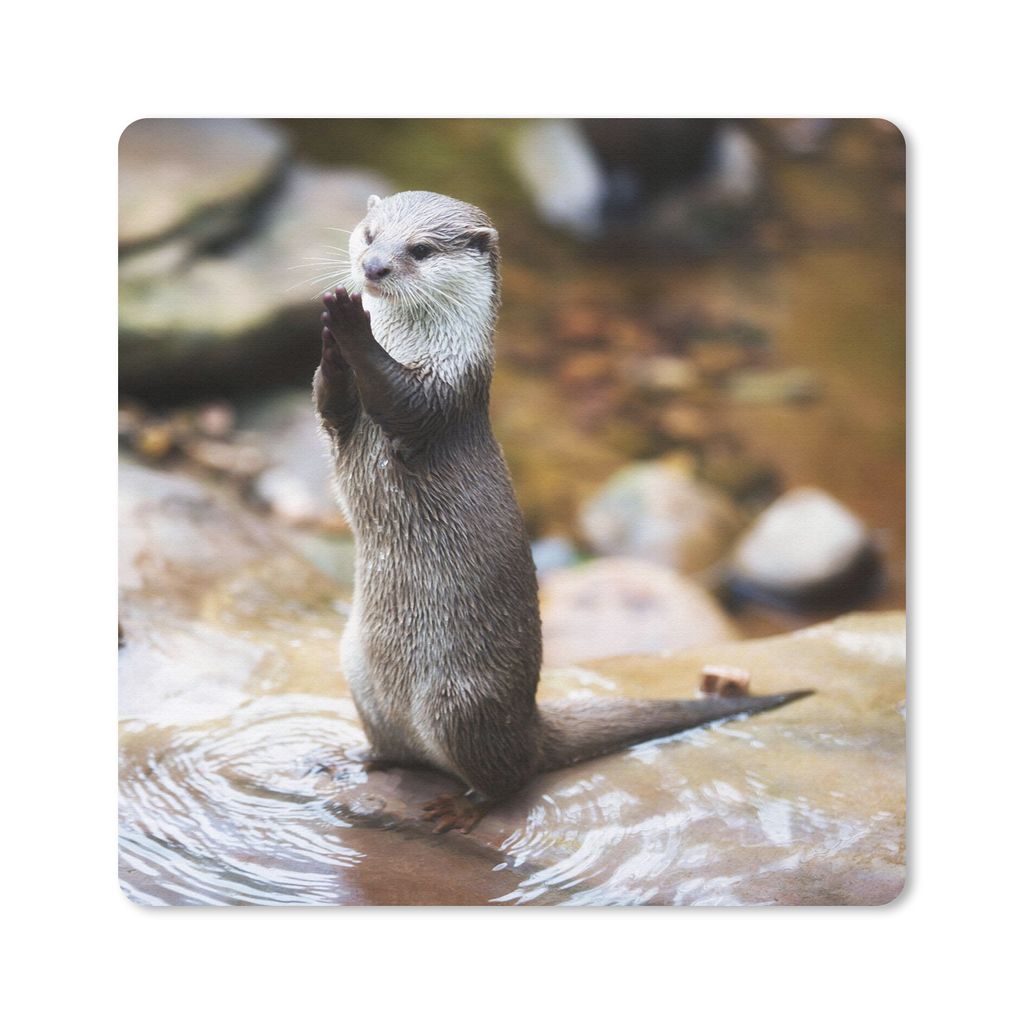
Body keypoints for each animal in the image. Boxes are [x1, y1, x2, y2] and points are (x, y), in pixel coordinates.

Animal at [313, 191, 810, 833]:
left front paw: (349, 325)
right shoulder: (343, 421)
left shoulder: (445, 395)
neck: (421, 346)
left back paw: (459, 809)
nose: (372, 268)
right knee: (398, 747)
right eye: (370, 234)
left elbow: (402, 399)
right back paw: (357, 760)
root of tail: (530, 720)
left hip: (460, 704)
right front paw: (330, 340)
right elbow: (329, 402)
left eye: (419, 250)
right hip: (358, 673)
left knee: (510, 776)